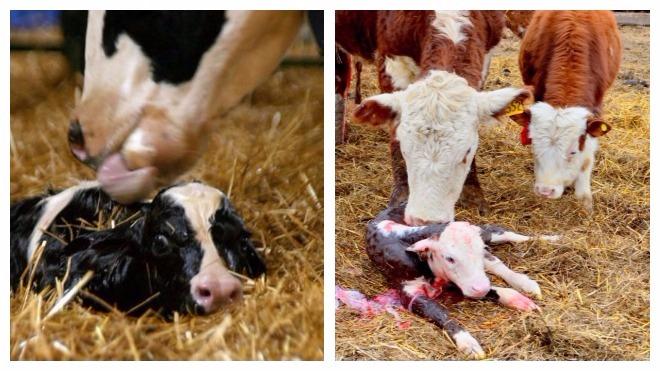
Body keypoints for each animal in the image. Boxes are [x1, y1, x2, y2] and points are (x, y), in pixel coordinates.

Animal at [336, 11, 532, 225]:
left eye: (467, 151)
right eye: (405, 149)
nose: (425, 221)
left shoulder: (485, 57)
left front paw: (473, 196)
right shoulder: (392, 60)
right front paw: (400, 197)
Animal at [366, 205, 552, 358]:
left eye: (481, 249)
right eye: (449, 258)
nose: (480, 288)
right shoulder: (408, 291)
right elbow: (438, 311)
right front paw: (467, 342)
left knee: (499, 237)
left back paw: (548, 242)